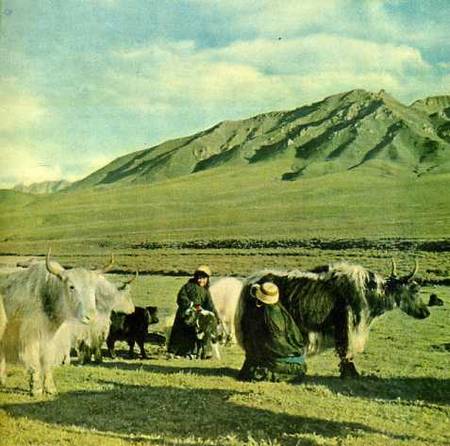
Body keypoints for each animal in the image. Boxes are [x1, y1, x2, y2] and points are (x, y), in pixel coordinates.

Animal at [0, 251, 109, 395]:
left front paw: (50, 388)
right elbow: (34, 361)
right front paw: (36, 388)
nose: (90, 317)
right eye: (71, 286)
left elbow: (47, 360)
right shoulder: (30, 337)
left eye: (93, 289)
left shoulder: (52, 339)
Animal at [236, 260, 430, 378]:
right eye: (414, 290)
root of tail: (251, 281)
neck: (369, 291)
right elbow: (346, 350)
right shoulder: (347, 325)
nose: (426, 313)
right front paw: (351, 375)